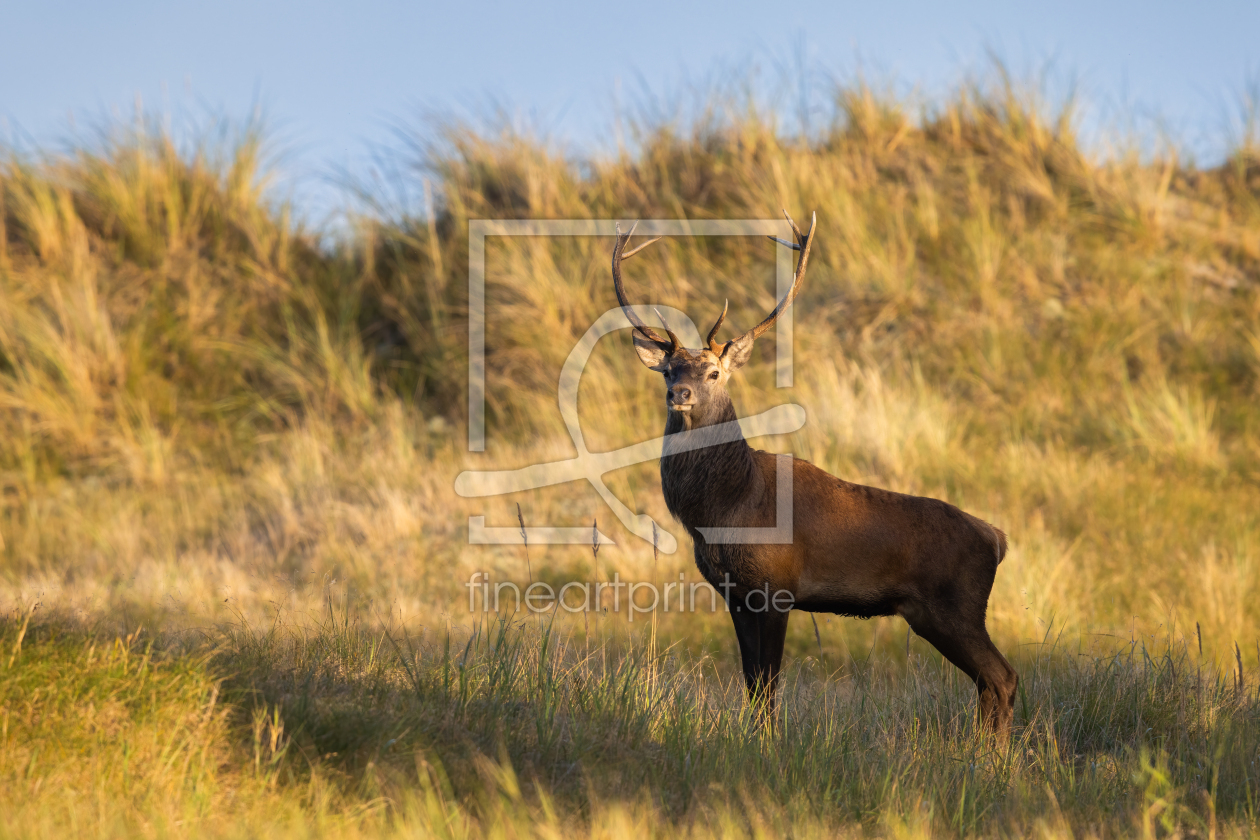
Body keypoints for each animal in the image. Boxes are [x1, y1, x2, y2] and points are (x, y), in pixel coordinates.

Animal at [611, 211, 1018, 735]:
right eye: (667, 370)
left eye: (714, 373)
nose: (678, 394)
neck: (726, 509)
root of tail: (997, 538)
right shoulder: (734, 593)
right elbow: (752, 684)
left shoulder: (778, 586)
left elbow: (768, 684)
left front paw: (766, 741)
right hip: (939, 613)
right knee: (991, 682)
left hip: (956, 606)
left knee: (1002, 676)